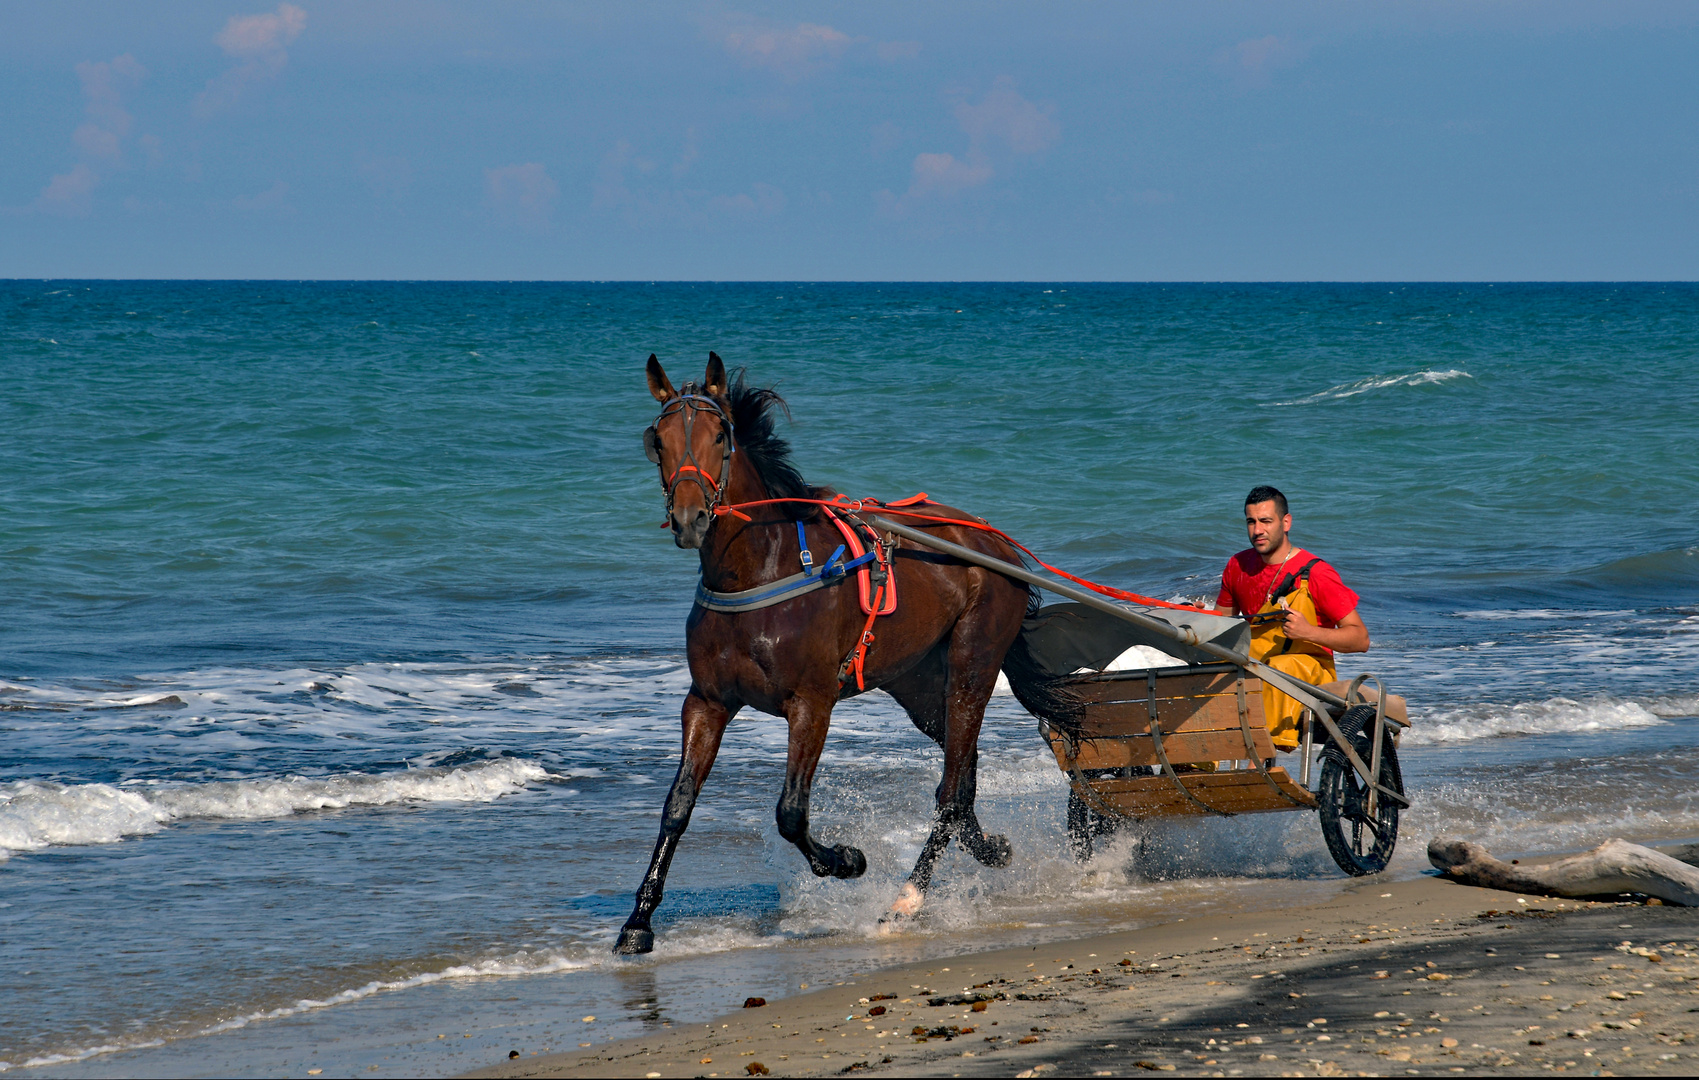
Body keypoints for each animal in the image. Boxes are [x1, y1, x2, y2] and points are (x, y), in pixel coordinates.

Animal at [615, 354, 1032, 950]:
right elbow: (677, 806)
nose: (690, 519)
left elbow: (791, 813)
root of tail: (997, 543)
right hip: (919, 684)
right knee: (963, 773)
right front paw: (638, 922)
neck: (760, 570)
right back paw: (989, 850)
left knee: (953, 788)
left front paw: (846, 860)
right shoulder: (707, 702)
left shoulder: (811, 703)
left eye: (720, 435)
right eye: (659, 439)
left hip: (972, 663)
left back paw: (907, 900)